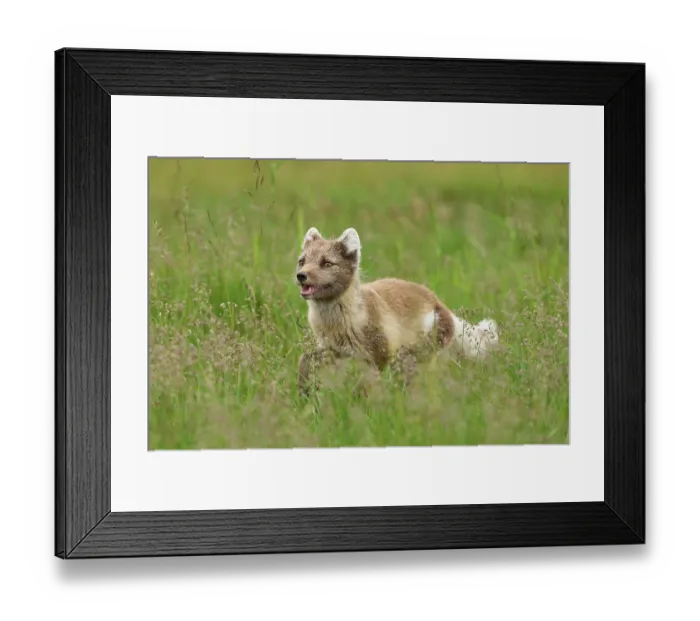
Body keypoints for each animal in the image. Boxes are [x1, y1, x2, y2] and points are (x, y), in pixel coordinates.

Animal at [295, 226, 500, 395]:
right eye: (302, 261)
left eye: (326, 263)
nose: (301, 275)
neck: (337, 324)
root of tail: (440, 303)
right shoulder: (331, 349)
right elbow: (304, 359)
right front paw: (304, 389)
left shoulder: (379, 354)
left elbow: (369, 386)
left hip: (413, 355)